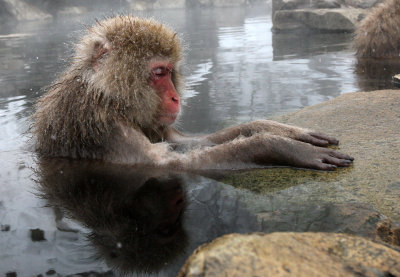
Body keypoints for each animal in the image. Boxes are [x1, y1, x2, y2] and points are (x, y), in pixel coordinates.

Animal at [32, 16, 354, 170]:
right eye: (158, 73)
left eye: (170, 71)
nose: (176, 97)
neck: (110, 96)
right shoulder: (103, 125)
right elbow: (167, 164)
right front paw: (276, 146)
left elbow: (190, 143)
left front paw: (273, 129)